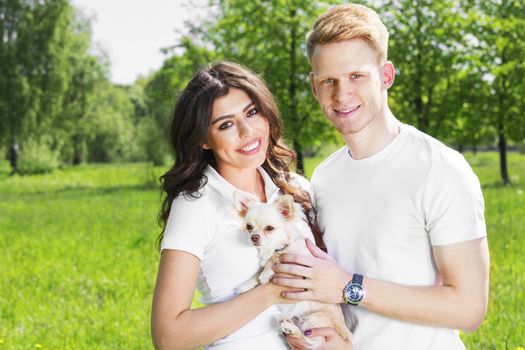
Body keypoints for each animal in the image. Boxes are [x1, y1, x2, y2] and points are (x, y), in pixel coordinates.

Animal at [233, 193, 352, 348]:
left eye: (269, 228)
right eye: (249, 226)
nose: (254, 237)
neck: (273, 247)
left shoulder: (300, 260)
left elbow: (277, 256)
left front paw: (266, 273)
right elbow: (256, 274)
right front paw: (245, 285)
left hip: (315, 320)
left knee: (312, 339)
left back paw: (290, 328)